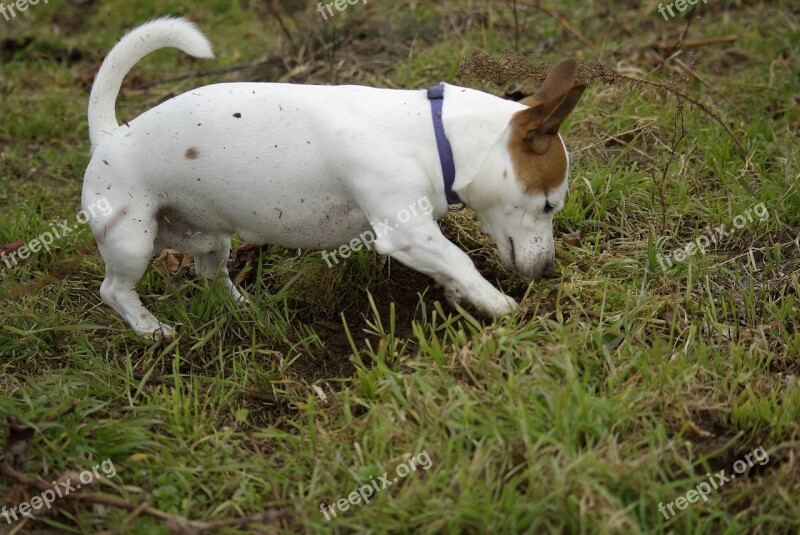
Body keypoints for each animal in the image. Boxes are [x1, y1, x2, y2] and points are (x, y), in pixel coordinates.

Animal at [81, 19, 584, 344]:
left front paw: (472, 297)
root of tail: (111, 135)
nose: (549, 271)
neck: (435, 133)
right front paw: (503, 306)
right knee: (114, 290)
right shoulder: (406, 231)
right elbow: (459, 259)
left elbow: (451, 267)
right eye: (548, 205)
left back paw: (241, 305)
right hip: (132, 240)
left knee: (210, 273)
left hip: (206, 238)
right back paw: (150, 328)